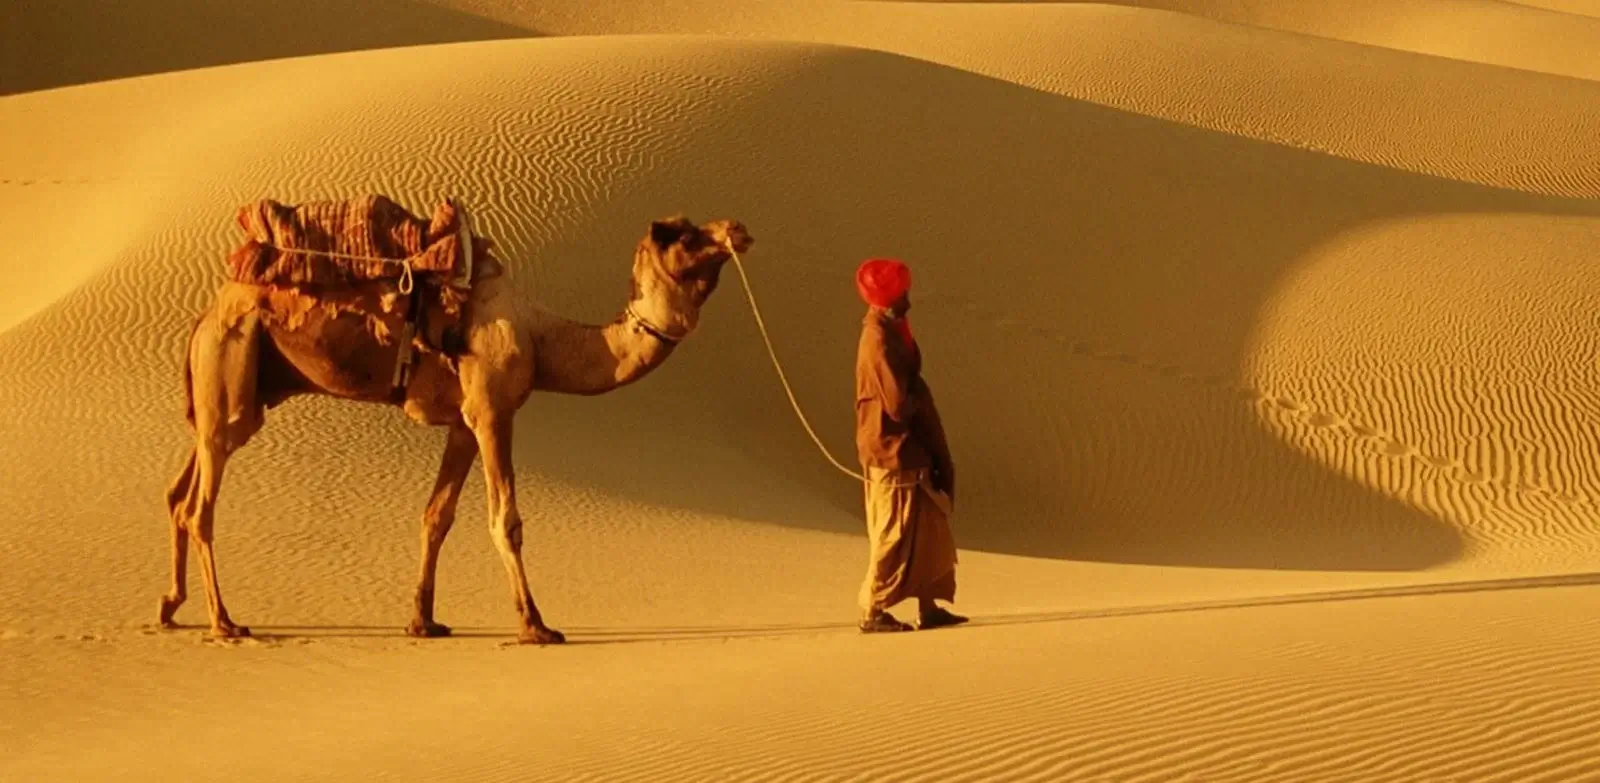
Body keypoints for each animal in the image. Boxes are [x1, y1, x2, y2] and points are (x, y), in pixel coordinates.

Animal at [161, 209, 754, 644]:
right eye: (683, 235)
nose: (738, 229)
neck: (541, 340)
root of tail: (206, 314)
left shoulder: (464, 424)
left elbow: (436, 516)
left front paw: (423, 621)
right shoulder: (493, 410)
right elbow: (506, 520)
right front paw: (536, 625)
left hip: (233, 389)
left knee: (180, 490)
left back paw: (171, 606)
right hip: (232, 365)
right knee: (200, 505)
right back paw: (224, 623)